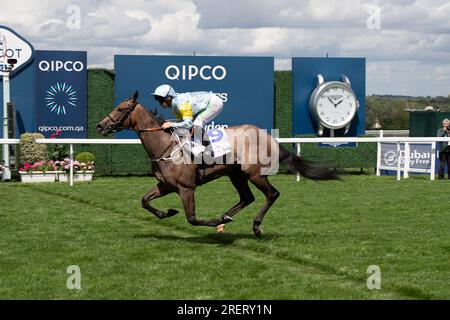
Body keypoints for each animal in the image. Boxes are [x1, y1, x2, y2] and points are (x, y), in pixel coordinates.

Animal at [96, 91, 340, 236]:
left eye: (121, 109)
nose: (100, 126)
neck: (166, 147)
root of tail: (269, 138)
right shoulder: (166, 185)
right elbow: (144, 201)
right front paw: (168, 213)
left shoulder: (186, 188)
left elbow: (192, 219)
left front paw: (215, 223)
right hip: (236, 174)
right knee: (247, 197)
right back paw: (227, 216)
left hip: (254, 174)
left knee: (272, 194)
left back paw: (255, 226)